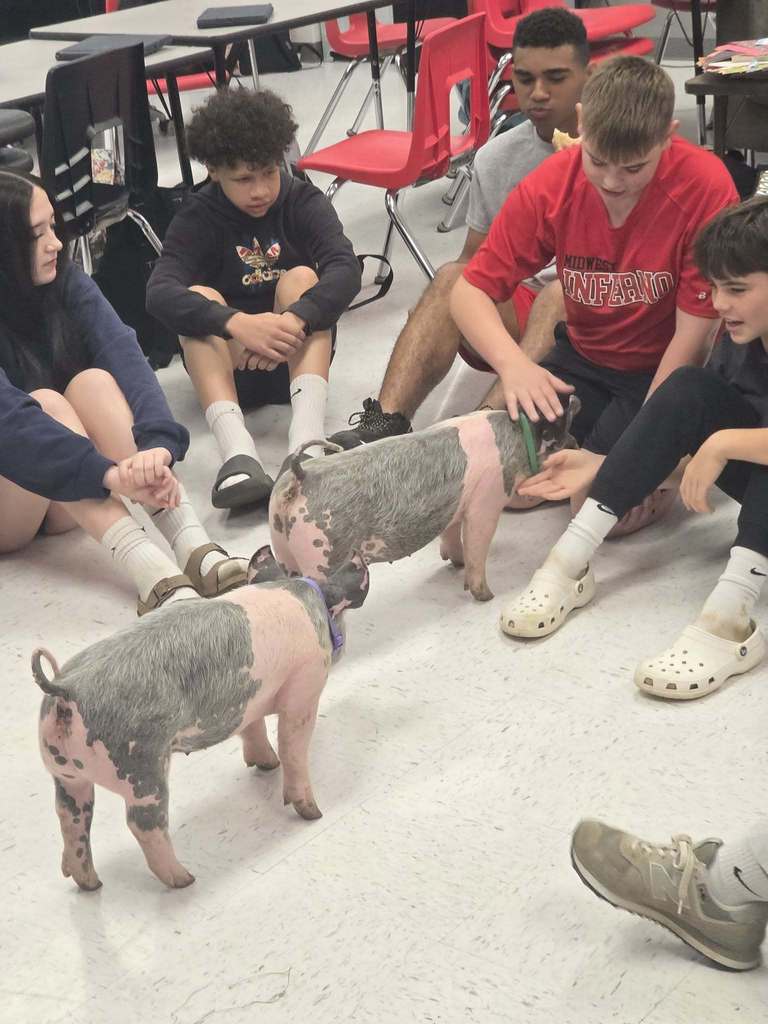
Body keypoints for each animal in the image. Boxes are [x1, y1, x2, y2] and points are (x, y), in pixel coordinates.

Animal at [33, 548, 368, 891]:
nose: (347, 641)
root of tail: (66, 690)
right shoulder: (304, 689)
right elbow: (293, 748)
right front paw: (313, 812)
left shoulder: (247, 700)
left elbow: (253, 729)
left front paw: (267, 764)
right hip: (141, 768)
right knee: (142, 824)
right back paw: (185, 879)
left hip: (65, 774)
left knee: (70, 816)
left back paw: (89, 883)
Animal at [270, 400, 579, 602]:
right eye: (558, 437)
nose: (577, 444)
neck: (517, 437)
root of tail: (301, 475)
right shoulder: (486, 501)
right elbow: (477, 546)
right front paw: (487, 596)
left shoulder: (456, 507)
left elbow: (452, 535)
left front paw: (456, 562)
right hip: (322, 555)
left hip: (283, 549)